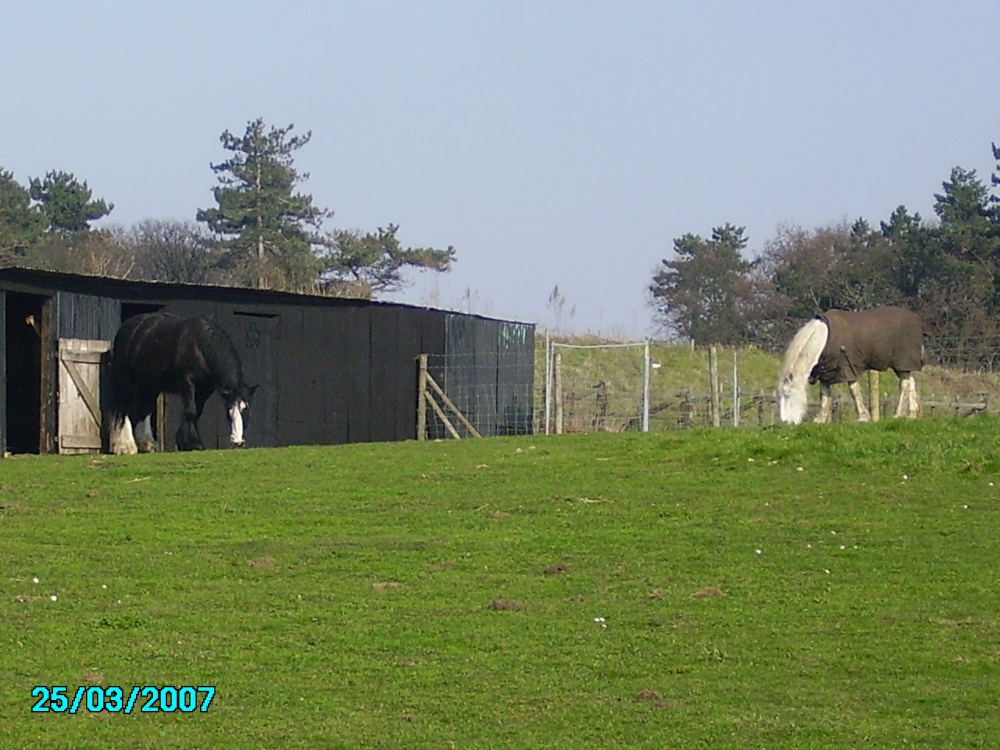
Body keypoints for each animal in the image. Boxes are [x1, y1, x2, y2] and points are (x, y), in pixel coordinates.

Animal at [107, 312, 256, 453]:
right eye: (229, 410)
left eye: (246, 410)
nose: (238, 442)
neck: (199, 346)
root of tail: (127, 327)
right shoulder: (187, 383)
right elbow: (191, 410)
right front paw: (193, 443)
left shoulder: (204, 390)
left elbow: (196, 411)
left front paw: (186, 442)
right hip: (126, 381)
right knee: (124, 408)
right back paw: (125, 447)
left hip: (149, 384)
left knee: (145, 408)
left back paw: (148, 444)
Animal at [777, 307, 924, 425]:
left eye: (788, 394)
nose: (785, 422)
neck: (825, 338)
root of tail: (917, 320)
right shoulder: (825, 371)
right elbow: (824, 394)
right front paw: (820, 419)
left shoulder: (848, 368)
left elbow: (854, 391)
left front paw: (863, 417)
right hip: (903, 366)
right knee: (910, 381)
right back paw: (912, 414)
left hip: (903, 361)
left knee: (904, 385)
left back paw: (898, 414)